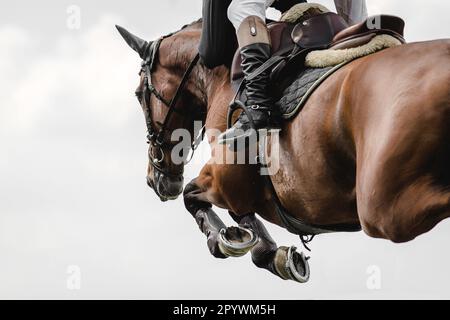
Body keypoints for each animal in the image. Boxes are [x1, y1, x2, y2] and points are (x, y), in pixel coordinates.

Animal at [117, 18, 450, 282]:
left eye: (138, 94)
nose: (155, 180)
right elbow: (232, 210)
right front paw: (258, 245)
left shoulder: (224, 179)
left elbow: (193, 196)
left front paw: (227, 241)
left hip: (385, 207)